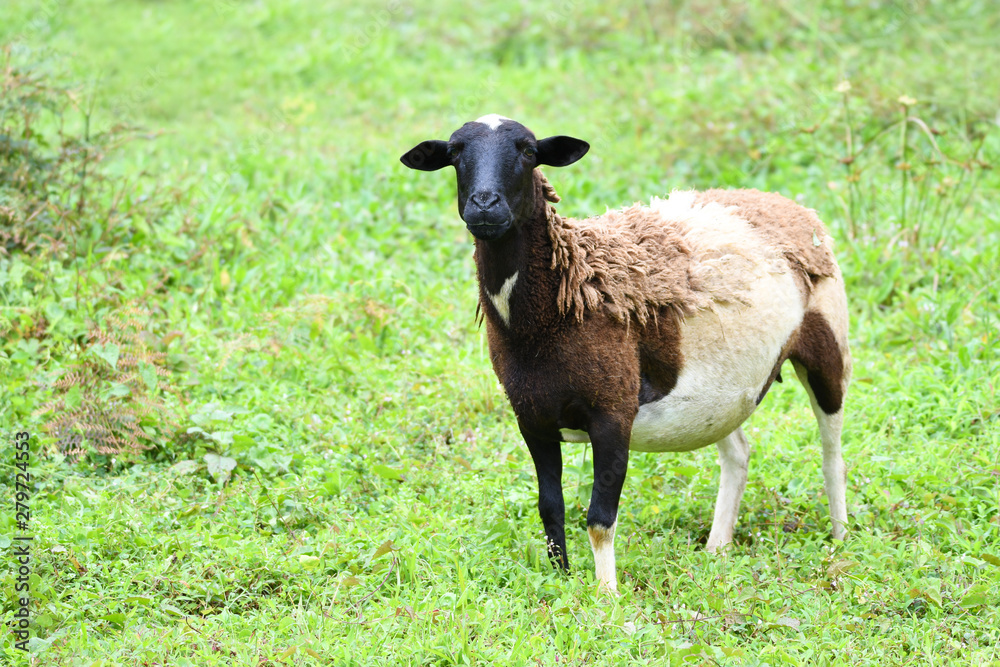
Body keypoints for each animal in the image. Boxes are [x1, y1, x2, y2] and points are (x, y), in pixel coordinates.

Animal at [400, 115, 851, 593]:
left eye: (528, 152)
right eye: (454, 154)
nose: (485, 205)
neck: (566, 297)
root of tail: (781, 202)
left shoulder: (612, 415)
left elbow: (600, 519)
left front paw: (606, 595)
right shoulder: (532, 420)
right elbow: (550, 506)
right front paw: (562, 580)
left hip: (829, 347)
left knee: (832, 456)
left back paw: (840, 542)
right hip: (722, 391)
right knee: (738, 454)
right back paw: (718, 547)